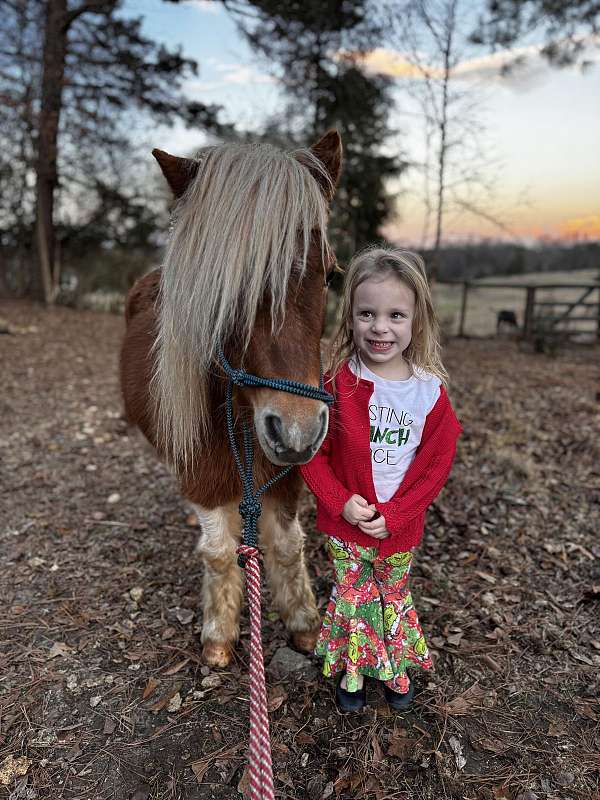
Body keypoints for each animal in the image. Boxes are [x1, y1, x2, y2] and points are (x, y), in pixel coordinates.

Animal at [120, 131, 342, 668]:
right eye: (223, 286)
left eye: (331, 276)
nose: (298, 429)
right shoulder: (200, 475)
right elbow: (219, 551)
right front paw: (219, 631)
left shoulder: (287, 476)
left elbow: (287, 545)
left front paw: (304, 621)